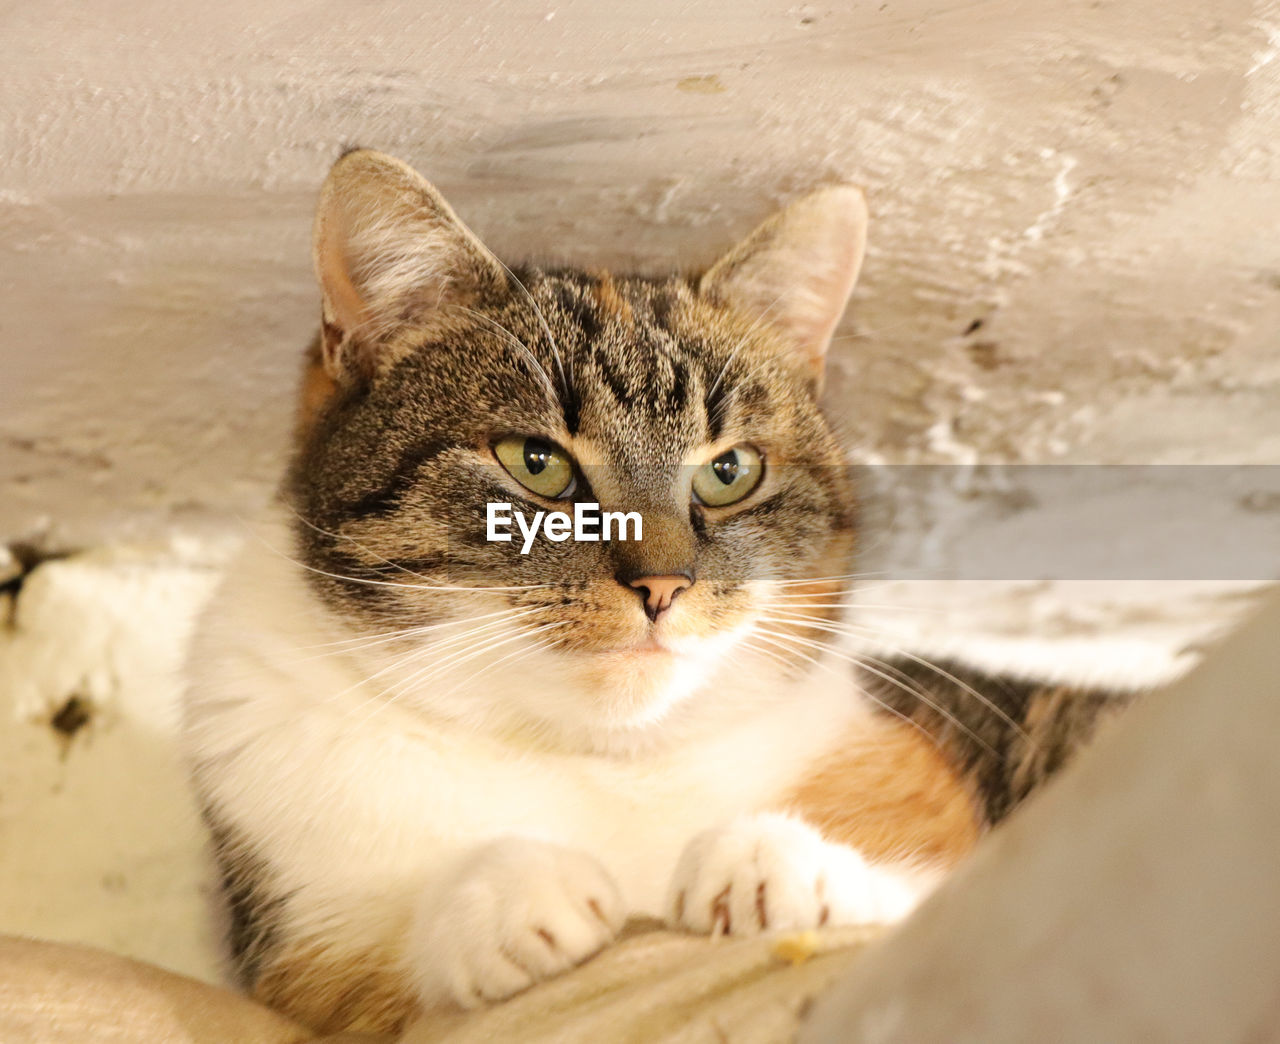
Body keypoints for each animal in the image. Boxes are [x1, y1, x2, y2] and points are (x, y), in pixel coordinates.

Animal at [183, 150, 1131, 1038]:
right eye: (537, 463)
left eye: (730, 471)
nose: (664, 585)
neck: (597, 760)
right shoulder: (301, 947)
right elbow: (373, 964)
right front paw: (506, 893)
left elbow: (927, 887)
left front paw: (774, 865)